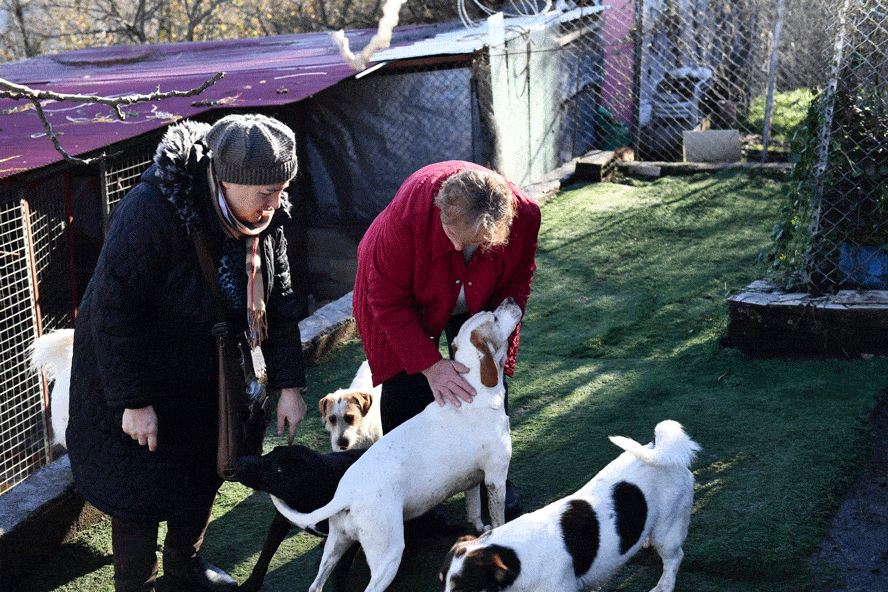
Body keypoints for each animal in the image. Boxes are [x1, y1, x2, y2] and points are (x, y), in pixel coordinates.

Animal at [232, 444, 368, 592]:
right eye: (269, 453)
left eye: (278, 469)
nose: (238, 461)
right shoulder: (280, 521)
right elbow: (265, 554)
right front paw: (252, 583)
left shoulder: (350, 539)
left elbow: (341, 570)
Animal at [270, 298, 520, 592]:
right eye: (494, 318)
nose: (510, 299)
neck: (477, 392)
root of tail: (346, 493)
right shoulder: (495, 477)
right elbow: (498, 516)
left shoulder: (473, 480)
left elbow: (475, 514)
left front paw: (480, 532)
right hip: (387, 553)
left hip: (336, 544)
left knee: (316, 584)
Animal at [438, 418, 700, 592]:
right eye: (442, 581)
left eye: (463, 590)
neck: (517, 557)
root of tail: (658, 449)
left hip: (668, 531)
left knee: (674, 559)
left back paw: (664, 585)